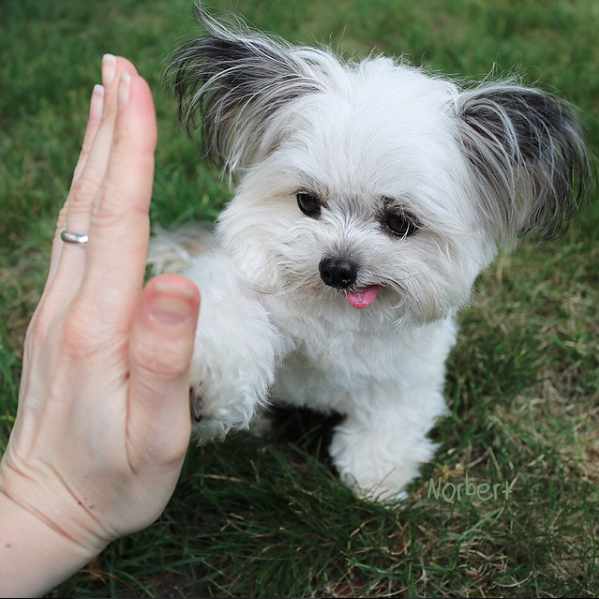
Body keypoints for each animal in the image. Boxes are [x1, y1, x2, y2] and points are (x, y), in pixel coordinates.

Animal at [150, 5, 592, 502]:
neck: (338, 313)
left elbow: (392, 419)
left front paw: (375, 474)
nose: (337, 268)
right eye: (307, 202)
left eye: (399, 222)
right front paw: (198, 380)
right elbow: (230, 320)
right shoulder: (251, 291)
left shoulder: (412, 372)